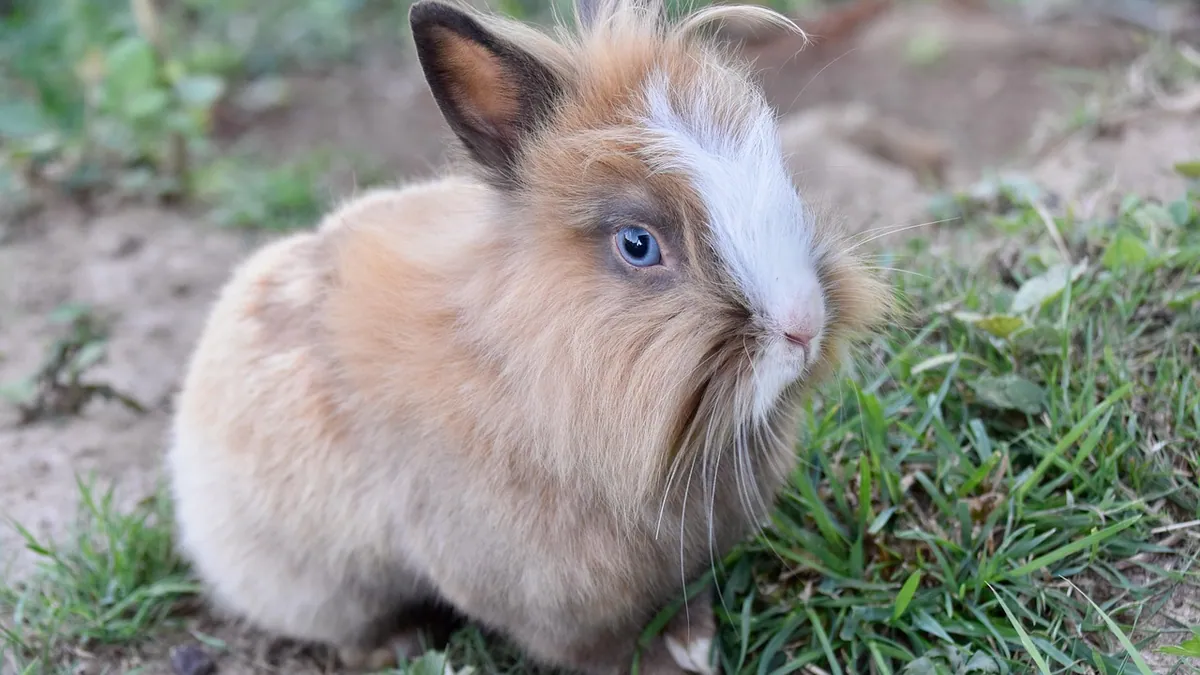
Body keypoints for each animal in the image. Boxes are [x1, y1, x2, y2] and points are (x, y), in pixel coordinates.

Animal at [164, 0, 893, 672]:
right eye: (637, 244)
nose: (803, 325)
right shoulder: (548, 597)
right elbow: (605, 649)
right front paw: (672, 661)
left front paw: (695, 640)